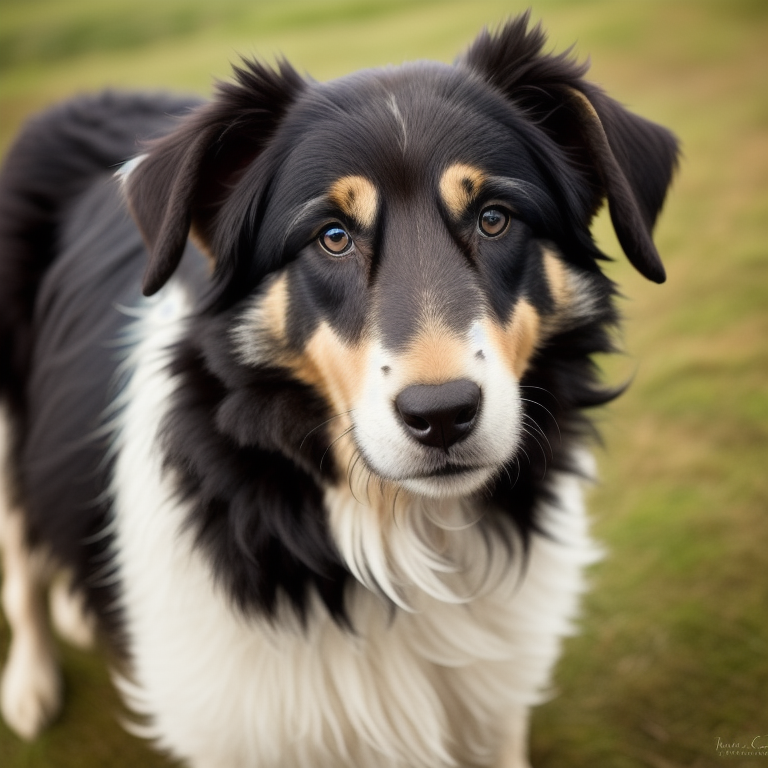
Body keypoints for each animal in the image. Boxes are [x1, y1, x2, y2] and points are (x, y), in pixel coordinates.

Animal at [0, 12, 676, 768]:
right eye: (332, 235)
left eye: (494, 218)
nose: (443, 417)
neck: (397, 533)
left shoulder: (493, 710)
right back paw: (30, 683)